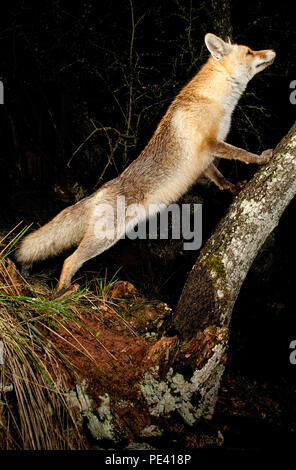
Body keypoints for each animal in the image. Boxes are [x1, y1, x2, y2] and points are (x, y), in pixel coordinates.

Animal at [15, 34, 276, 298]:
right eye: (250, 52)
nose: (273, 51)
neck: (214, 100)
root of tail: (101, 190)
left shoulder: (205, 158)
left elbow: (218, 176)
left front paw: (232, 187)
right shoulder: (210, 142)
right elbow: (242, 153)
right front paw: (262, 158)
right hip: (104, 238)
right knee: (69, 260)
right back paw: (61, 293)